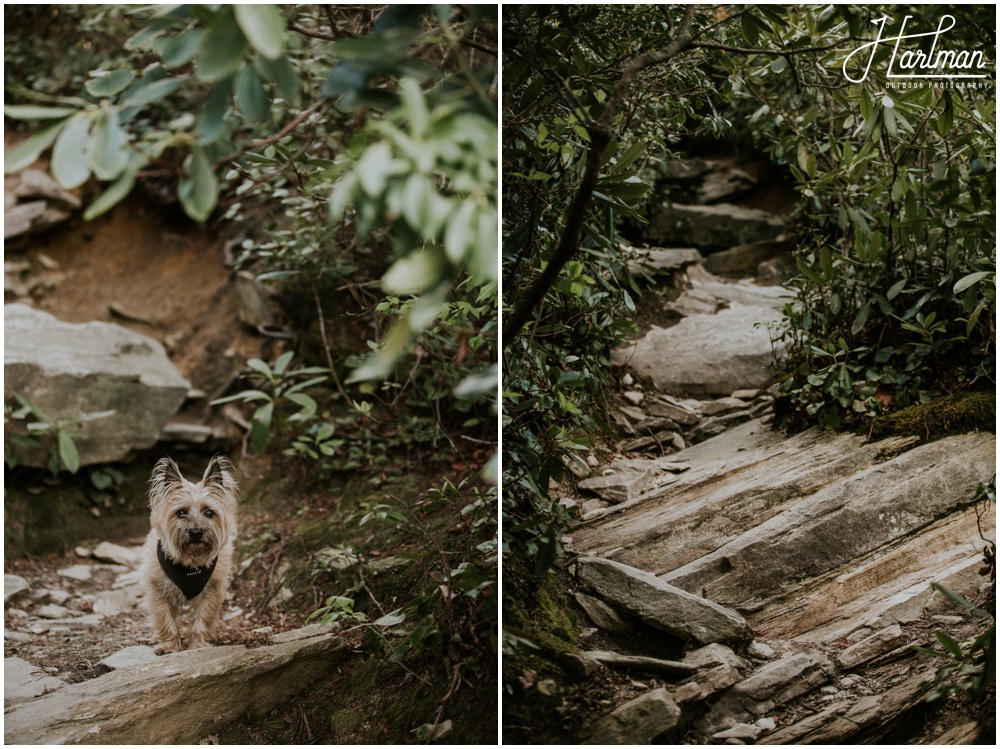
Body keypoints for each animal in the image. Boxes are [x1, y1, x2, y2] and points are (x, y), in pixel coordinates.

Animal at [141, 452, 238, 652]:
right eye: (180, 512)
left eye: (209, 512)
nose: (196, 532)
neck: (191, 561)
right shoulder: (158, 590)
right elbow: (165, 619)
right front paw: (168, 646)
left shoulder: (211, 593)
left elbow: (202, 621)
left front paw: (198, 646)